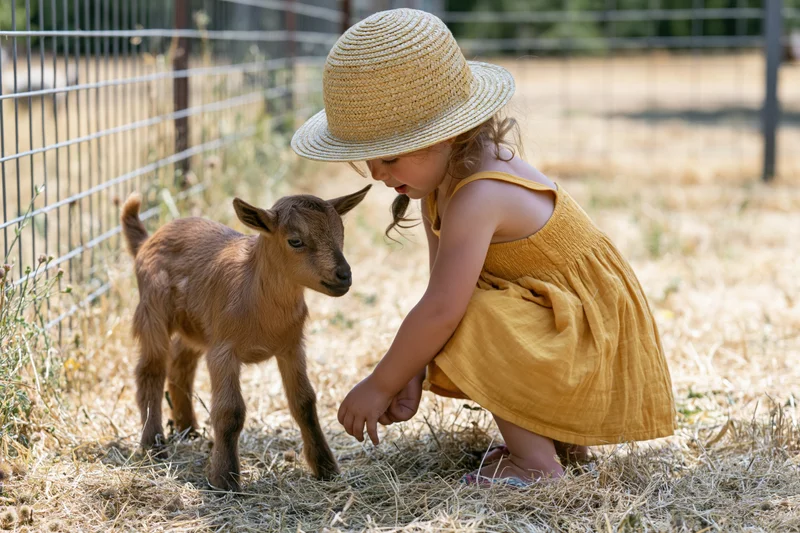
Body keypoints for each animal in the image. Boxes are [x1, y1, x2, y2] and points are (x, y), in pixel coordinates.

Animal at [120, 185, 371, 490]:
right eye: (295, 241)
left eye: (341, 232)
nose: (343, 275)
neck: (255, 291)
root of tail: (146, 241)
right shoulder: (223, 351)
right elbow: (230, 412)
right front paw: (225, 479)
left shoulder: (291, 347)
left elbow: (304, 403)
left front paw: (326, 468)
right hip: (153, 311)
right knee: (151, 371)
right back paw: (154, 445)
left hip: (196, 327)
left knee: (180, 365)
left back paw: (188, 429)